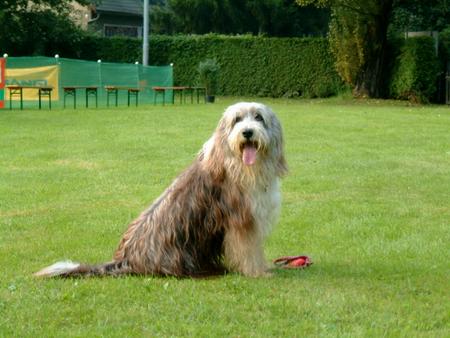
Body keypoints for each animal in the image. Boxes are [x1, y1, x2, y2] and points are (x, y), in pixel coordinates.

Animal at [36, 102, 288, 278]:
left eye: (259, 117)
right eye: (237, 120)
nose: (248, 132)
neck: (238, 164)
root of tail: (126, 259)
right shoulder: (242, 219)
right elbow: (248, 250)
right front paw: (258, 272)